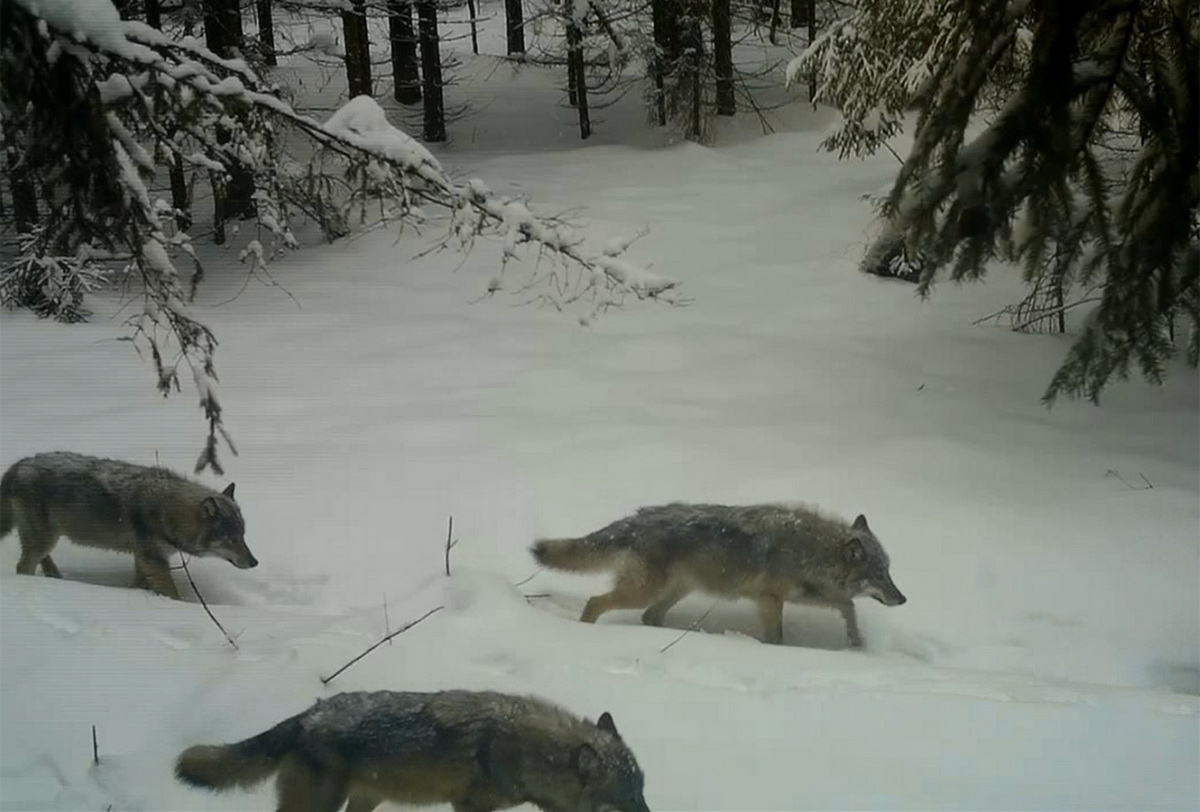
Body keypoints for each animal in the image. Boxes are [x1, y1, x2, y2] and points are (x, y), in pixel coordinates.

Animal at [1, 453, 255, 599]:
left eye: (243, 536)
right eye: (231, 539)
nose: (255, 562)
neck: (167, 509)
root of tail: (18, 465)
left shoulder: (143, 558)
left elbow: (140, 584)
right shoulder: (153, 558)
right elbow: (172, 593)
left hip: (46, 538)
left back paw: (54, 578)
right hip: (43, 539)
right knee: (22, 566)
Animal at [530, 501, 902, 647]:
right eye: (881, 575)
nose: (903, 598)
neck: (812, 551)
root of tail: (636, 519)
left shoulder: (806, 595)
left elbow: (847, 605)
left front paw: (856, 641)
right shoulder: (769, 599)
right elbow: (778, 637)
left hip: (673, 592)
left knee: (650, 617)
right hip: (643, 591)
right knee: (594, 603)